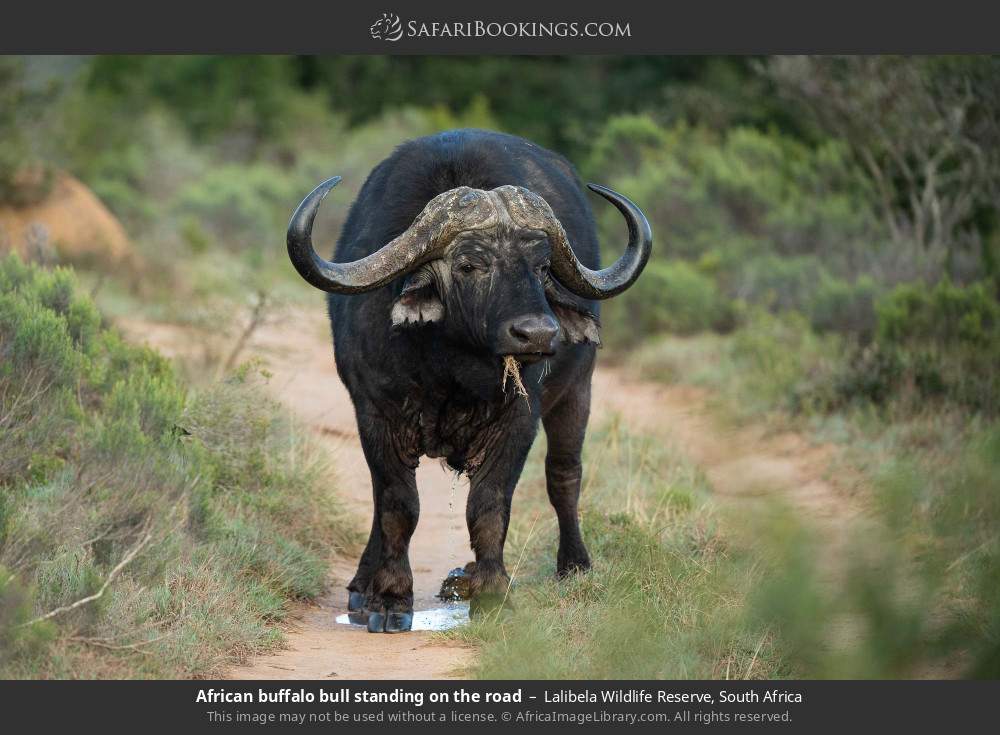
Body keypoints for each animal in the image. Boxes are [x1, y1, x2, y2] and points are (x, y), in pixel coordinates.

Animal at [286, 129, 652, 633]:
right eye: (468, 265)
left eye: (541, 266)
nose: (538, 334)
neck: (450, 372)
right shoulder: (375, 414)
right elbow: (397, 505)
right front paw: (388, 599)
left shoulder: (518, 420)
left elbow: (489, 506)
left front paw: (493, 593)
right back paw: (364, 587)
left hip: (579, 390)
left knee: (564, 475)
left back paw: (571, 566)